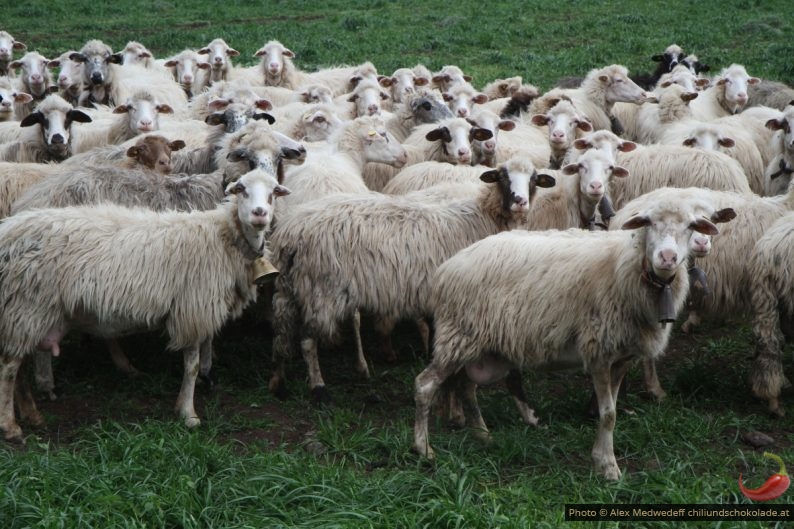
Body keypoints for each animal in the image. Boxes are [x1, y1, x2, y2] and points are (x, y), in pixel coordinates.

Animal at [0, 167, 290, 440]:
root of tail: (10, 230)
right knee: (9, 367)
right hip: (27, 307)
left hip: (34, 311)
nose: (260, 214)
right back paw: (11, 426)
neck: (222, 236)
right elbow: (192, 367)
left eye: (273, 193)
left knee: (23, 365)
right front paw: (188, 413)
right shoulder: (192, 310)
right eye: (241, 189)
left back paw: (34, 411)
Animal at [266, 157, 552, 400]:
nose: (520, 202)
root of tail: (291, 232)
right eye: (502, 176)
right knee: (307, 340)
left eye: (534, 179)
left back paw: (278, 382)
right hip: (321, 289)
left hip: (290, 286)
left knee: (281, 332)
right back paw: (318, 388)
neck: (482, 218)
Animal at [414, 196, 724, 480]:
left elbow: (611, 410)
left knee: (467, 386)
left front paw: (601, 458)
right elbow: (608, 414)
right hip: (458, 335)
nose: (667, 258)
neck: (630, 267)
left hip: (479, 344)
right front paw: (609, 467)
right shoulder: (598, 350)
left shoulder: (622, 356)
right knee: (425, 385)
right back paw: (424, 449)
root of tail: (447, 267)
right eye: (648, 222)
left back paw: (482, 434)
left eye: (691, 226)